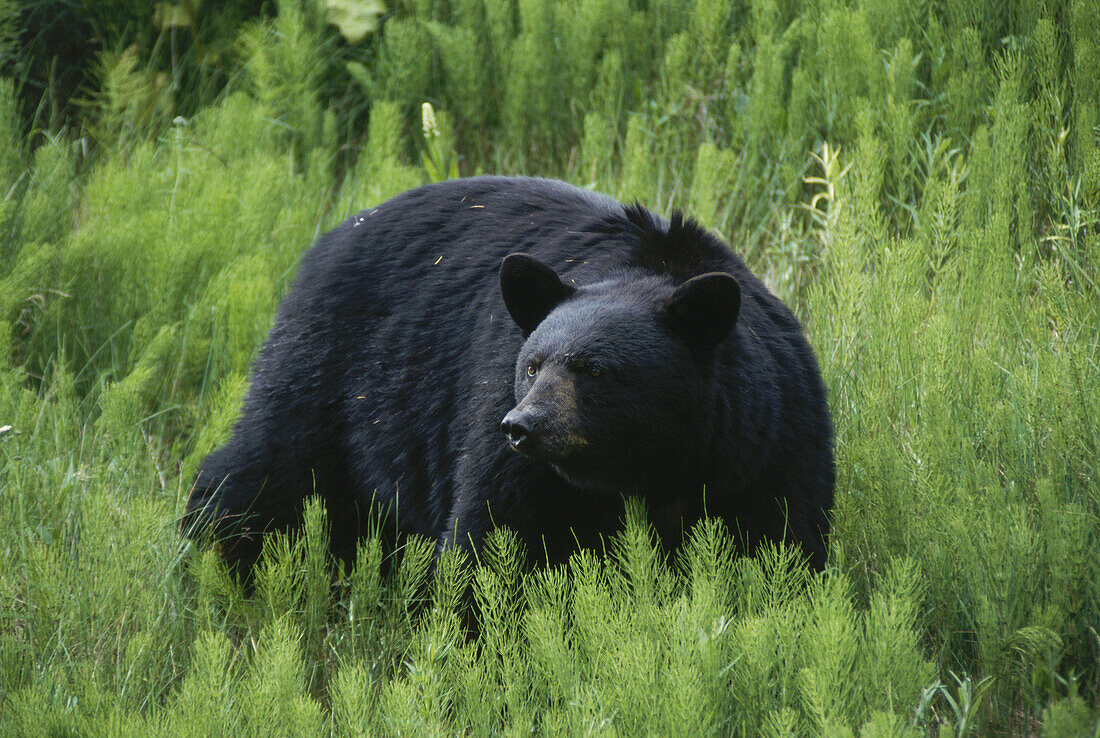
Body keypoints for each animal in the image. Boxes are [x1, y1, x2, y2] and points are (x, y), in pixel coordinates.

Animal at [184, 177, 831, 576]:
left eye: (595, 369)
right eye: (532, 365)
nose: (524, 425)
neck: (649, 471)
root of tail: (338, 230)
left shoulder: (768, 441)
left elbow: (783, 541)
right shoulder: (512, 450)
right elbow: (495, 543)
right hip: (334, 371)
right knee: (265, 468)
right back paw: (214, 559)